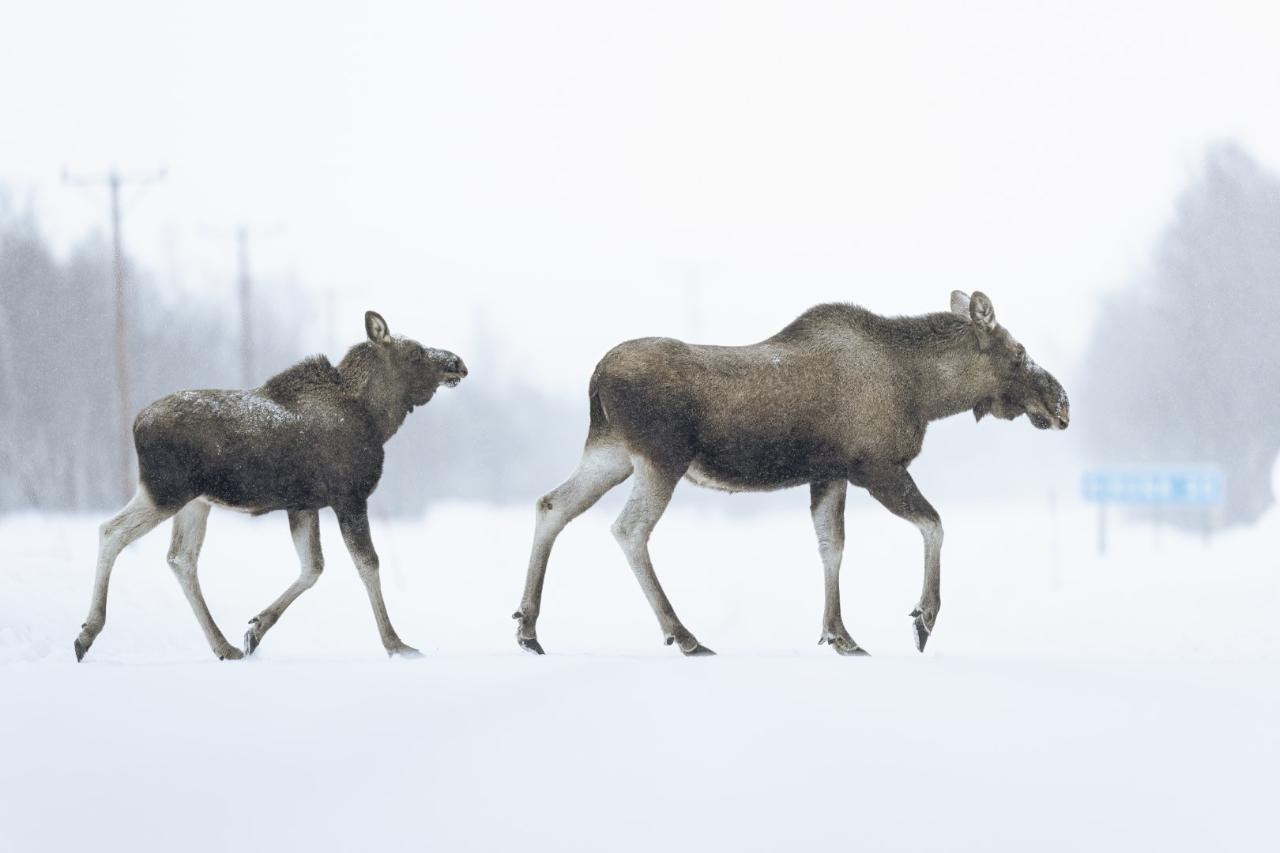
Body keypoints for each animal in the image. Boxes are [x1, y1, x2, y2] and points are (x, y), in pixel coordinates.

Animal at [74, 308, 468, 660]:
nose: (458, 363)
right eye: (416, 352)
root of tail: (136, 423)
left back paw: (224, 646)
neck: (378, 418)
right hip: (166, 491)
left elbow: (313, 567)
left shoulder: (304, 504)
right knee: (112, 530)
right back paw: (86, 633)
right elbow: (367, 564)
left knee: (181, 558)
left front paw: (255, 629)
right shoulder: (349, 496)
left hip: (194, 502)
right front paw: (396, 644)